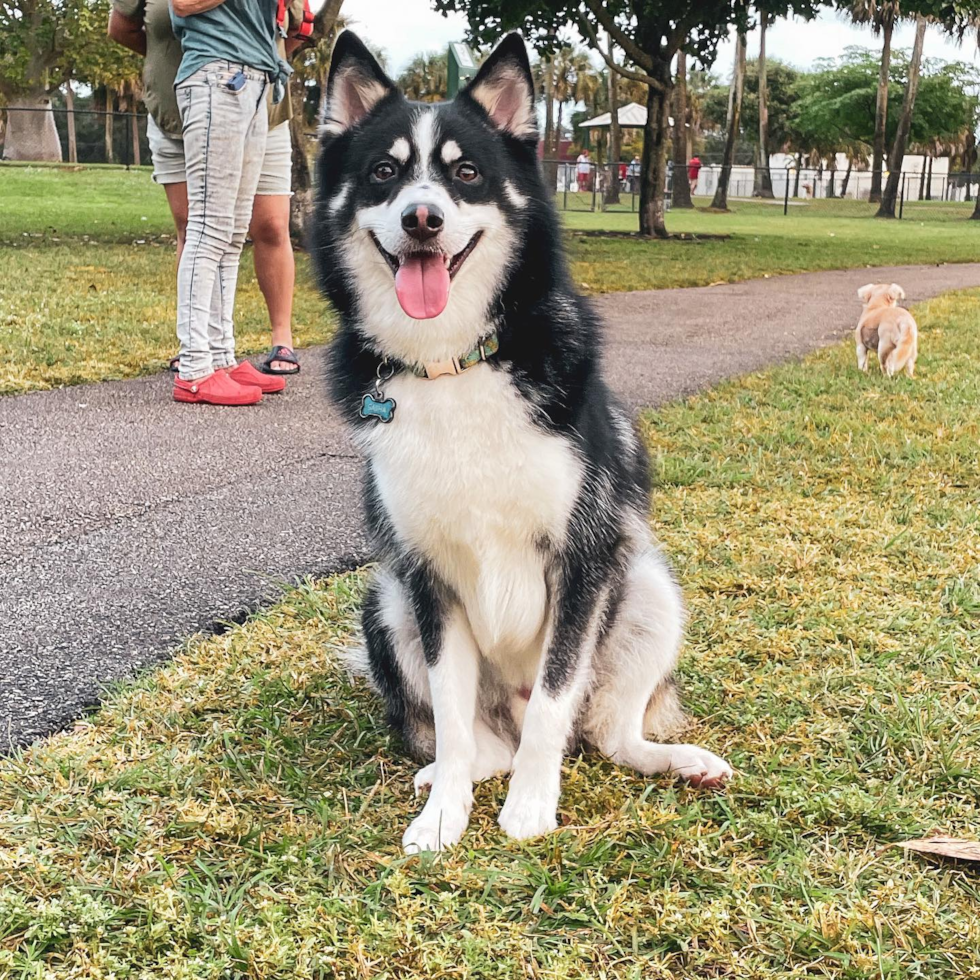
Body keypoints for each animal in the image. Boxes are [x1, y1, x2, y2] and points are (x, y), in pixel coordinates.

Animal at [310, 34, 732, 852]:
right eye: (383, 172)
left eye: (466, 172)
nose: (422, 219)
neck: (455, 361)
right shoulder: (425, 576)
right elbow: (449, 715)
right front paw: (445, 816)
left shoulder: (583, 555)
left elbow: (555, 700)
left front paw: (533, 806)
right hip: (385, 603)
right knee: (481, 745)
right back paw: (448, 775)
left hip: (645, 587)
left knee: (601, 733)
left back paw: (674, 759)